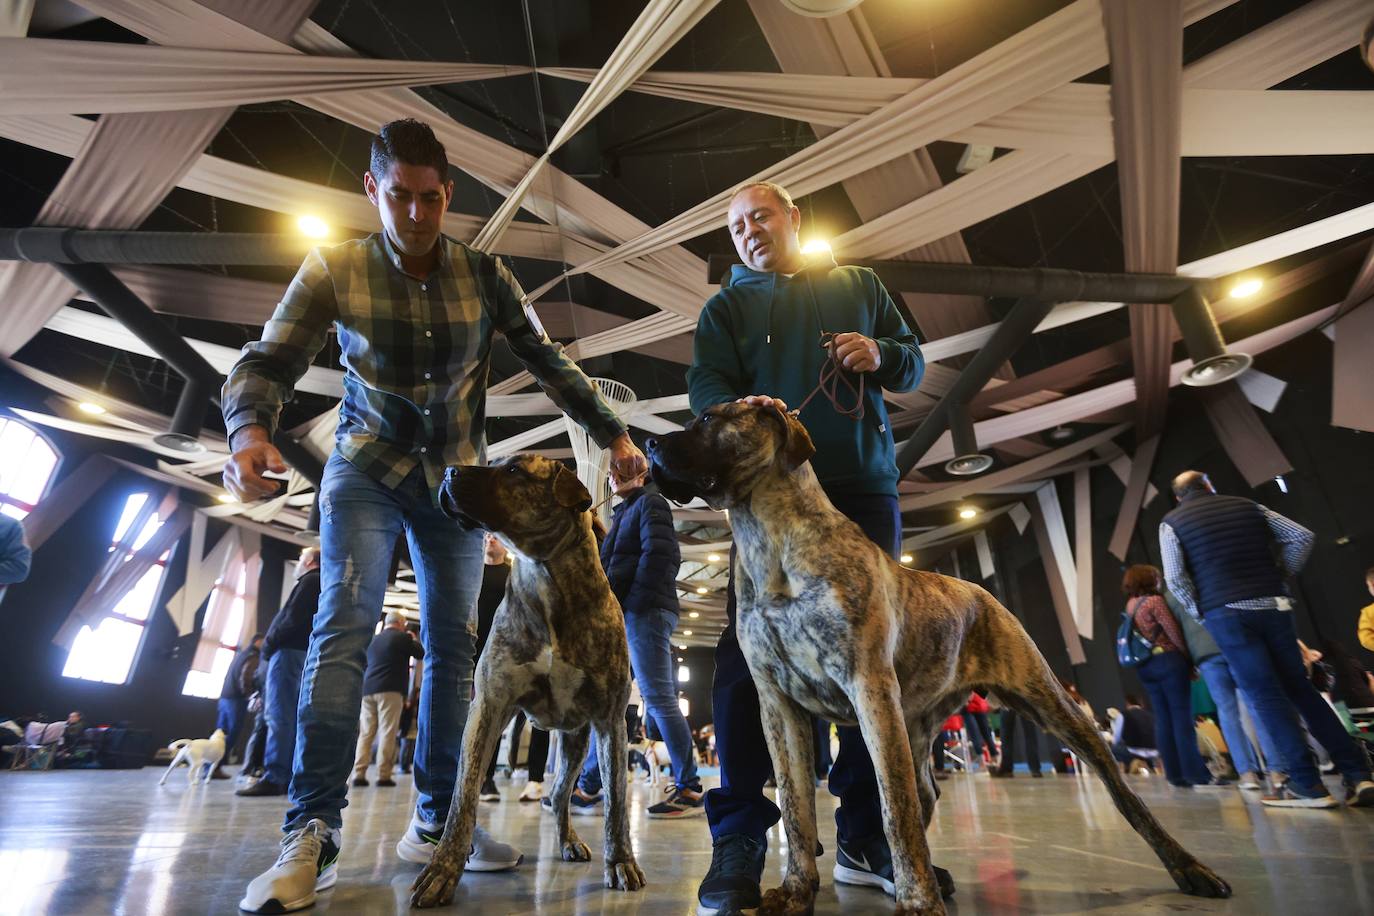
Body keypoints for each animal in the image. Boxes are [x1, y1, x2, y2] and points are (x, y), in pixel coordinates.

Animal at [406, 458, 643, 911]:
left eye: (515, 470)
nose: (449, 472)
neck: (545, 575)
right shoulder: (489, 706)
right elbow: (462, 799)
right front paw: (443, 868)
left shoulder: (610, 721)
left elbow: (617, 804)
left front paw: (621, 861)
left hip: (575, 741)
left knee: (561, 796)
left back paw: (569, 841)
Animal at [645, 403, 1236, 911]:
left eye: (707, 419)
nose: (649, 443)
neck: (770, 543)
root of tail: (979, 591)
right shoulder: (778, 707)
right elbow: (796, 810)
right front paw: (795, 892)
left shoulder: (869, 688)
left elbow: (893, 809)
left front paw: (917, 901)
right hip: (918, 724)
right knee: (924, 793)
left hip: (1053, 706)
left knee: (1124, 797)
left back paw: (1191, 869)